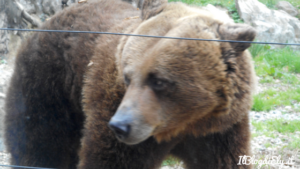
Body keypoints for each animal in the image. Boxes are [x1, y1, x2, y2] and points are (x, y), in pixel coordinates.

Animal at [4, 0, 255, 168]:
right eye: (127, 76)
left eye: (159, 81)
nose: (120, 125)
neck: (185, 123)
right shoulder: (112, 109)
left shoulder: (220, 131)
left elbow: (223, 160)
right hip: (48, 86)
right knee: (40, 144)